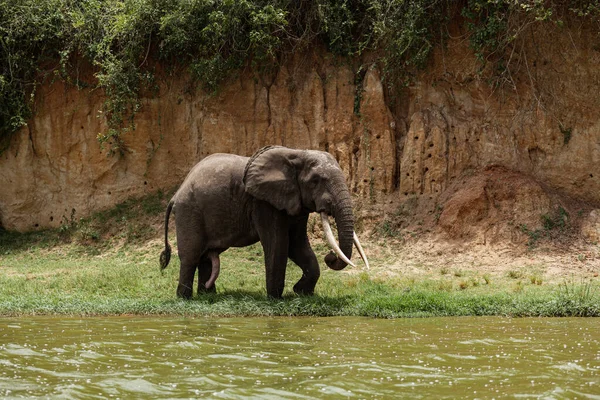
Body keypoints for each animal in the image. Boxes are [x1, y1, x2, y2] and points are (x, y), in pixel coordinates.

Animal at [158, 145, 370, 298]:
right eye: (316, 181)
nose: (330, 256)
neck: (297, 154)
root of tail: (176, 194)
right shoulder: (263, 203)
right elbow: (278, 244)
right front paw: (275, 298)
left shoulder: (295, 203)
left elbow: (298, 245)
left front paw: (302, 293)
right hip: (189, 212)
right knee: (191, 256)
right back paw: (185, 298)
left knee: (205, 257)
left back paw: (207, 296)